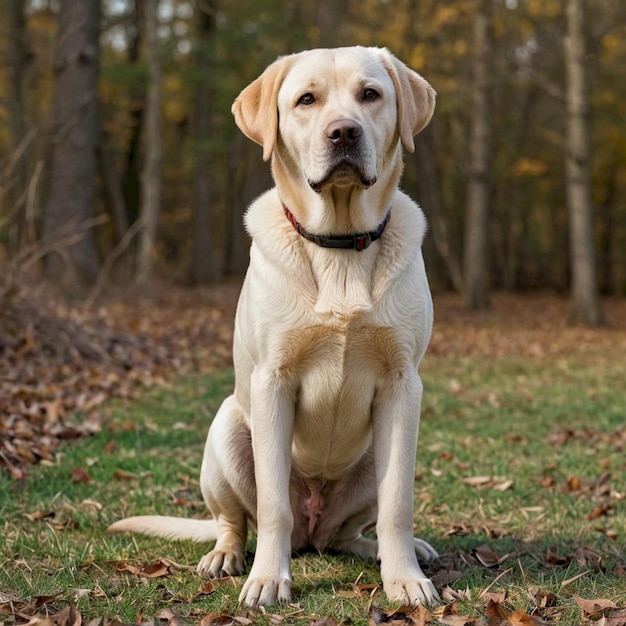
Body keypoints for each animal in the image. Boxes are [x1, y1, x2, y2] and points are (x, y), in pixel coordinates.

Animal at [107, 46, 436, 608]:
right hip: (226, 431)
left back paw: (381, 549)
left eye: (370, 94)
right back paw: (227, 556)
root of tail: (312, 531)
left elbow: (398, 502)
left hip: (369, 462)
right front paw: (267, 580)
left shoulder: (402, 384)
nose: (344, 133)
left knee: (345, 534)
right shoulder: (272, 381)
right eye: (306, 100)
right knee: (238, 521)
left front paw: (405, 578)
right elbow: (274, 505)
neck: (339, 244)